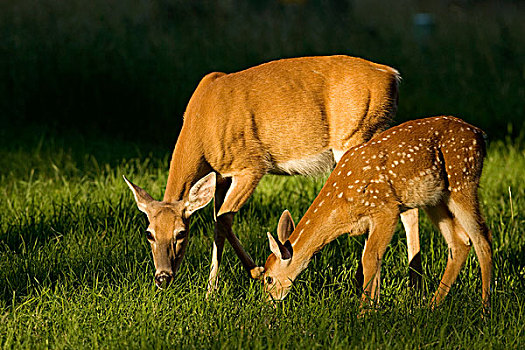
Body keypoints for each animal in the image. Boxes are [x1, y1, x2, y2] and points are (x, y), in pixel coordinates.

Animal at [124, 54, 422, 292]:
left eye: (181, 233)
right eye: (149, 233)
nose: (162, 277)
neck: (202, 125)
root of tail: (392, 76)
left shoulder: (251, 165)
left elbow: (223, 220)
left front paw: (255, 272)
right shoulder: (220, 177)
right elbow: (217, 224)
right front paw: (211, 290)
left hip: (355, 135)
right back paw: (415, 283)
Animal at [262, 116, 492, 310]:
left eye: (268, 278)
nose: (267, 302)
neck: (341, 204)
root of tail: (480, 134)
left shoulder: (386, 209)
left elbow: (370, 258)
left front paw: (364, 313)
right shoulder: (368, 222)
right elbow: (372, 259)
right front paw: (374, 306)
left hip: (462, 181)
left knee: (483, 238)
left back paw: (484, 309)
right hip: (435, 199)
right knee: (460, 241)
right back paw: (432, 305)